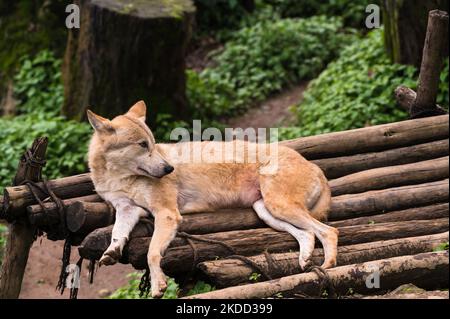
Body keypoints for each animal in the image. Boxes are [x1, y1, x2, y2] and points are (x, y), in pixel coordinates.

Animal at [86, 101, 338, 298]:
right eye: (142, 144)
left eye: (153, 143)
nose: (169, 169)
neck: (118, 178)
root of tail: (315, 167)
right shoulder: (127, 209)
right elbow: (117, 233)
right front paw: (111, 252)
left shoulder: (166, 213)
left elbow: (152, 252)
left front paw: (158, 285)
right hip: (266, 211)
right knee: (308, 234)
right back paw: (305, 262)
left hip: (279, 207)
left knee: (329, 231)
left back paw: (328, 266)